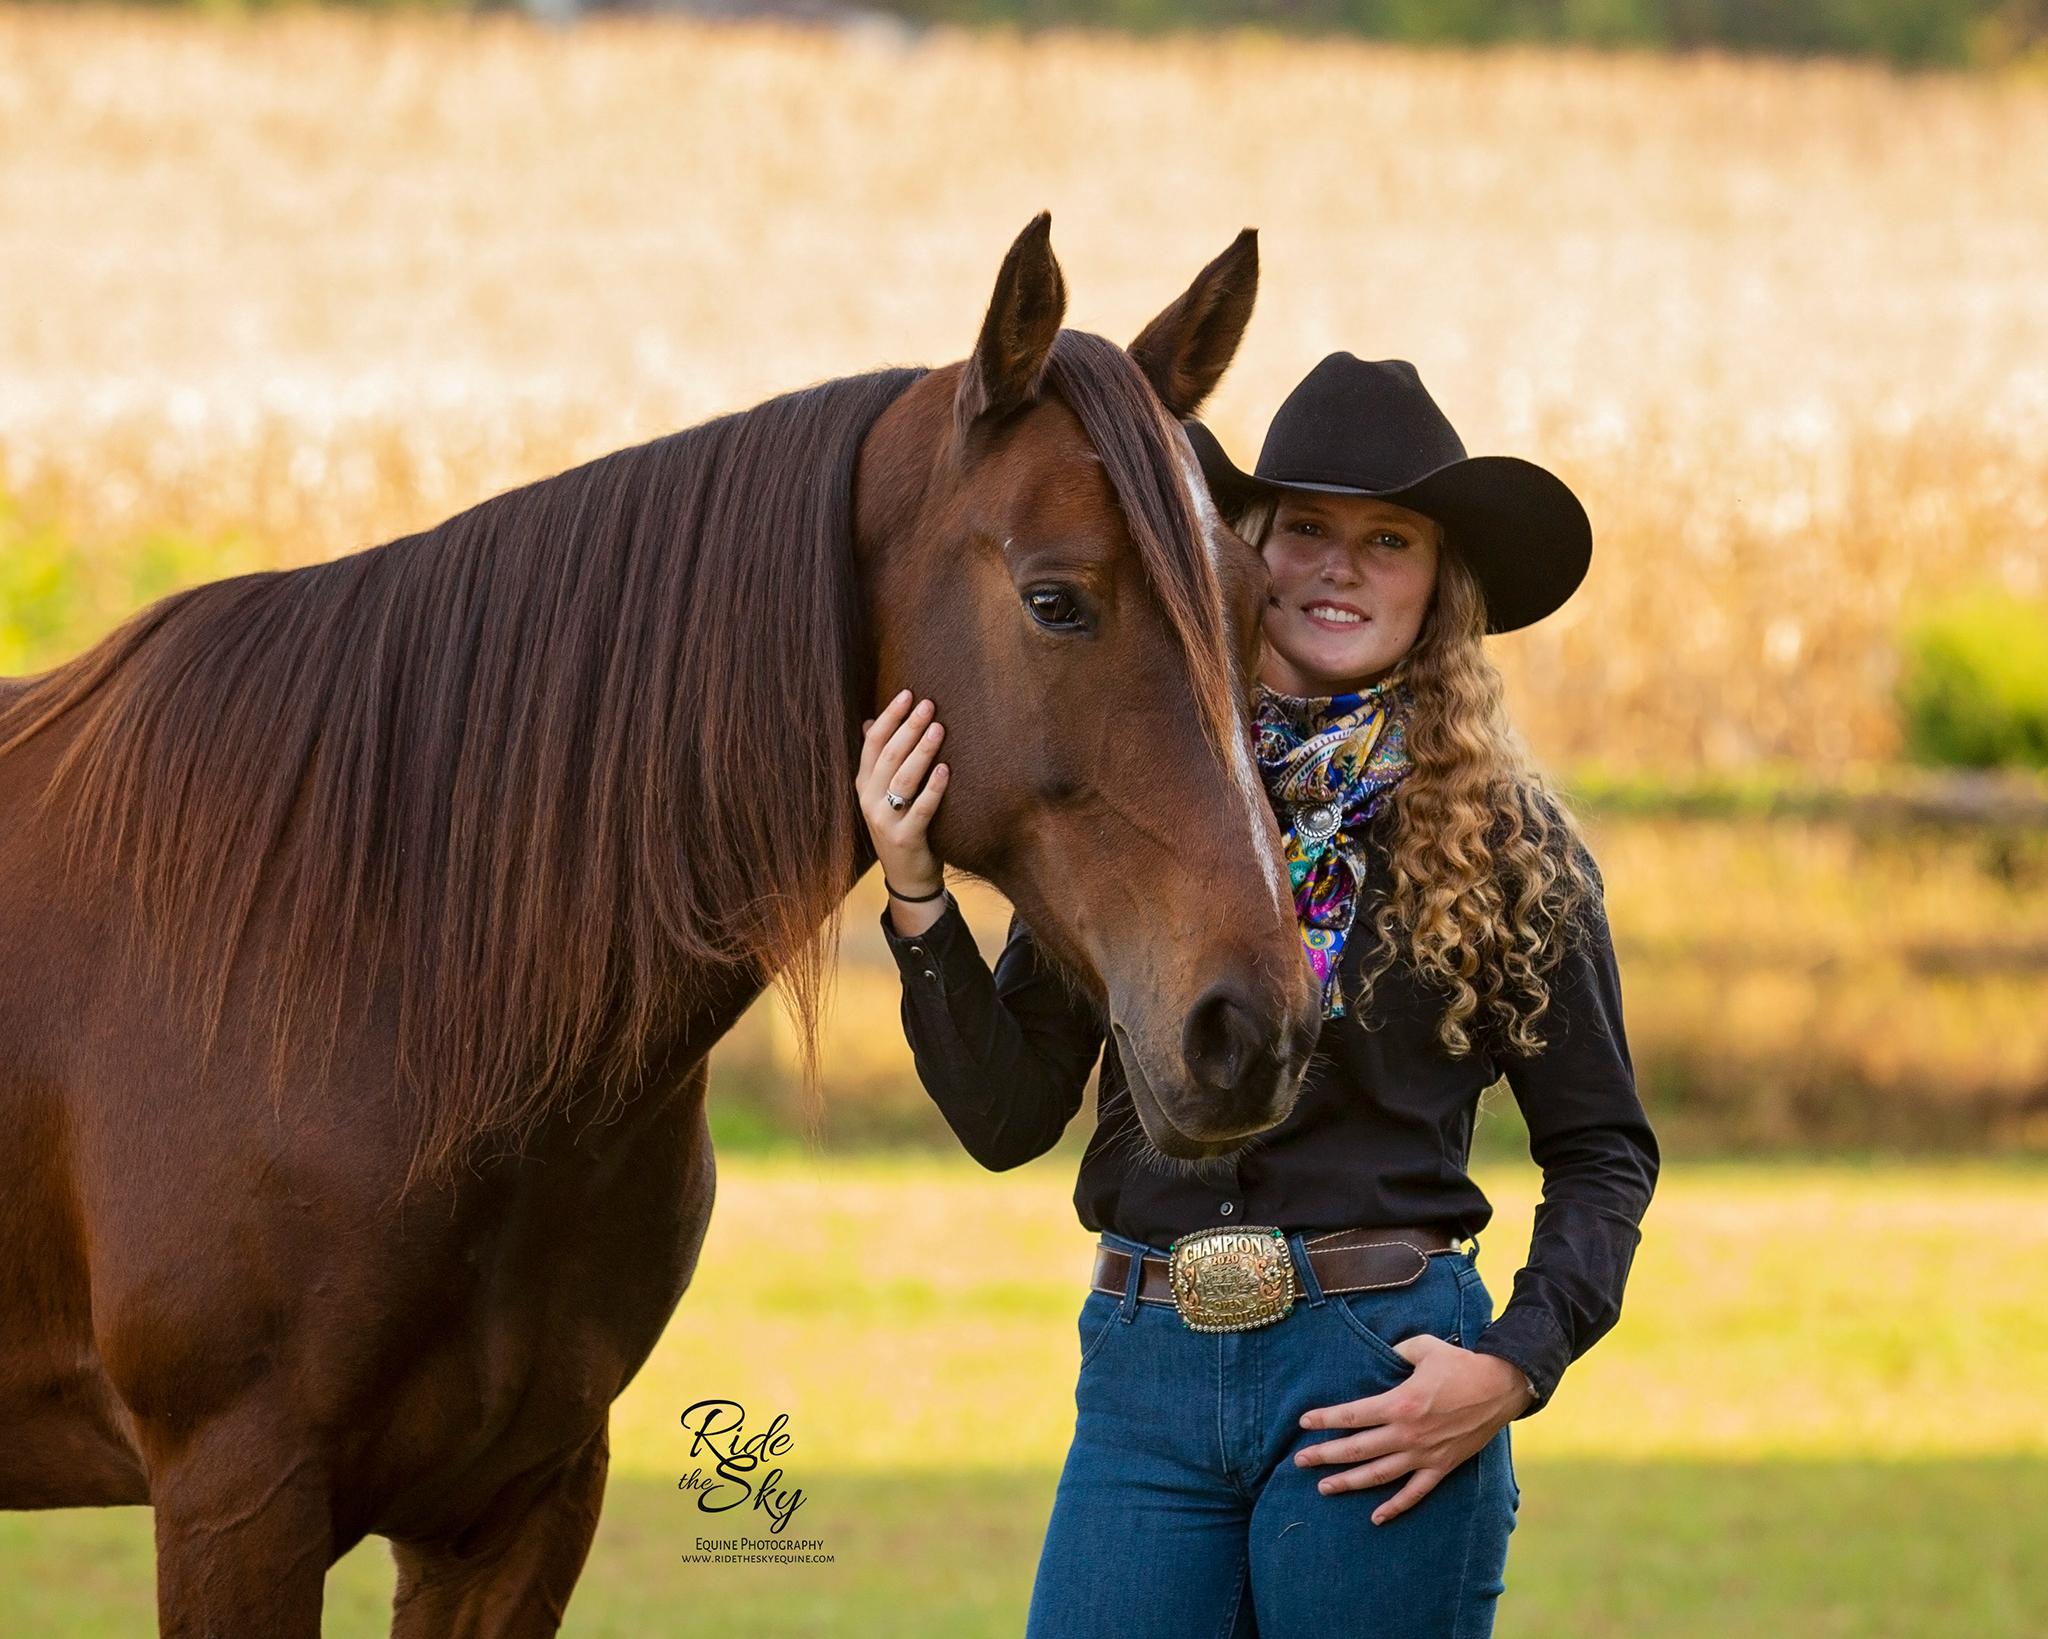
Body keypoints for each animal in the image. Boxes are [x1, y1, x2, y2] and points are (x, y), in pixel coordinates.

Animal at [0, 221, 1310, 1639]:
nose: (1252, 1028)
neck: (374, 961)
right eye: (1055, 599)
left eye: (1255, 605)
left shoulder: (521, 1500)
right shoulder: (236, 1500)